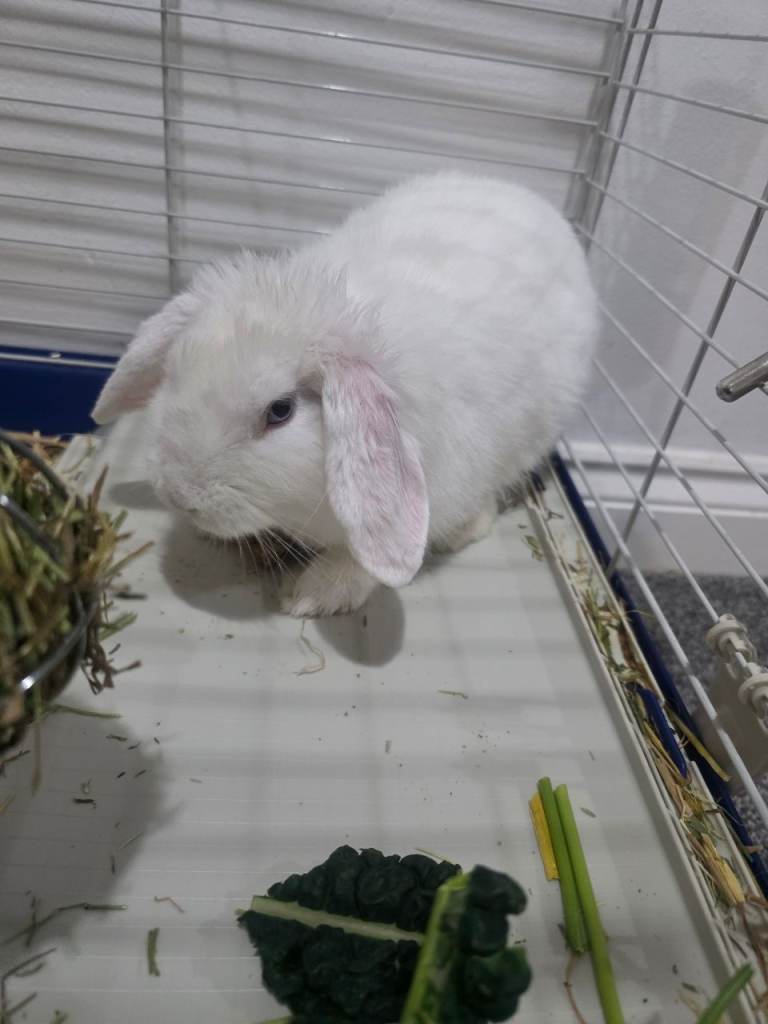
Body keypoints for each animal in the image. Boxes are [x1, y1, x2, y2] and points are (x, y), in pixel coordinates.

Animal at [92, 171, 598, 617]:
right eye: (174, 373)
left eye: (280, 411)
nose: (179, 495)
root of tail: (537, 202)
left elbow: (360, 557)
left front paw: (312, 596)